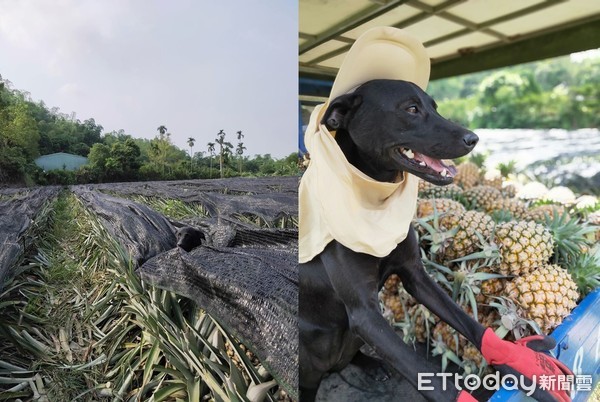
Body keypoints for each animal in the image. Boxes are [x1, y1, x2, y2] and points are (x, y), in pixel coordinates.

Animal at [300, 79, 572, 402]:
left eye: (435, 107)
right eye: (411, 109)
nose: (473, 138)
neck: (376, 204)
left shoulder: (416, 276)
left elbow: (471, 325)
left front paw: (525, 371)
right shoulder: (365, 314)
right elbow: (428, 376)